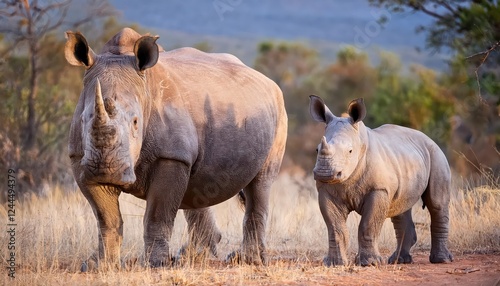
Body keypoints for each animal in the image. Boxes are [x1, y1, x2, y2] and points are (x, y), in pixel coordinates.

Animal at [64, 27, 288, 270]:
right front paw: (98, 265)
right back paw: (193, 256)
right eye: (84, 119)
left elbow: (157, 215)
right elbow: (107, 218)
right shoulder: (80, 159)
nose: (107, 169)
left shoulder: (171, 156)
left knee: (260, 183)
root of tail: (266, 80)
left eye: (135, 122)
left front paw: (156, 264)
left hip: (277, 111)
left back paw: (247, 260)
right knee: (197, 188)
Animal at [308, 95, 454, 266]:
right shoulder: (326, 190)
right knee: (400, 207)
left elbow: (368, 224)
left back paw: (441, 260)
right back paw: (399, 261)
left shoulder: (379, 189)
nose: (324, 173)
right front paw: (334, 263)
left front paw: (370, 263)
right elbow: (335, 227)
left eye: (350, 151)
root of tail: (428, 138)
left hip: (436, 154)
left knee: (437, 204)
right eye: (317, 150)